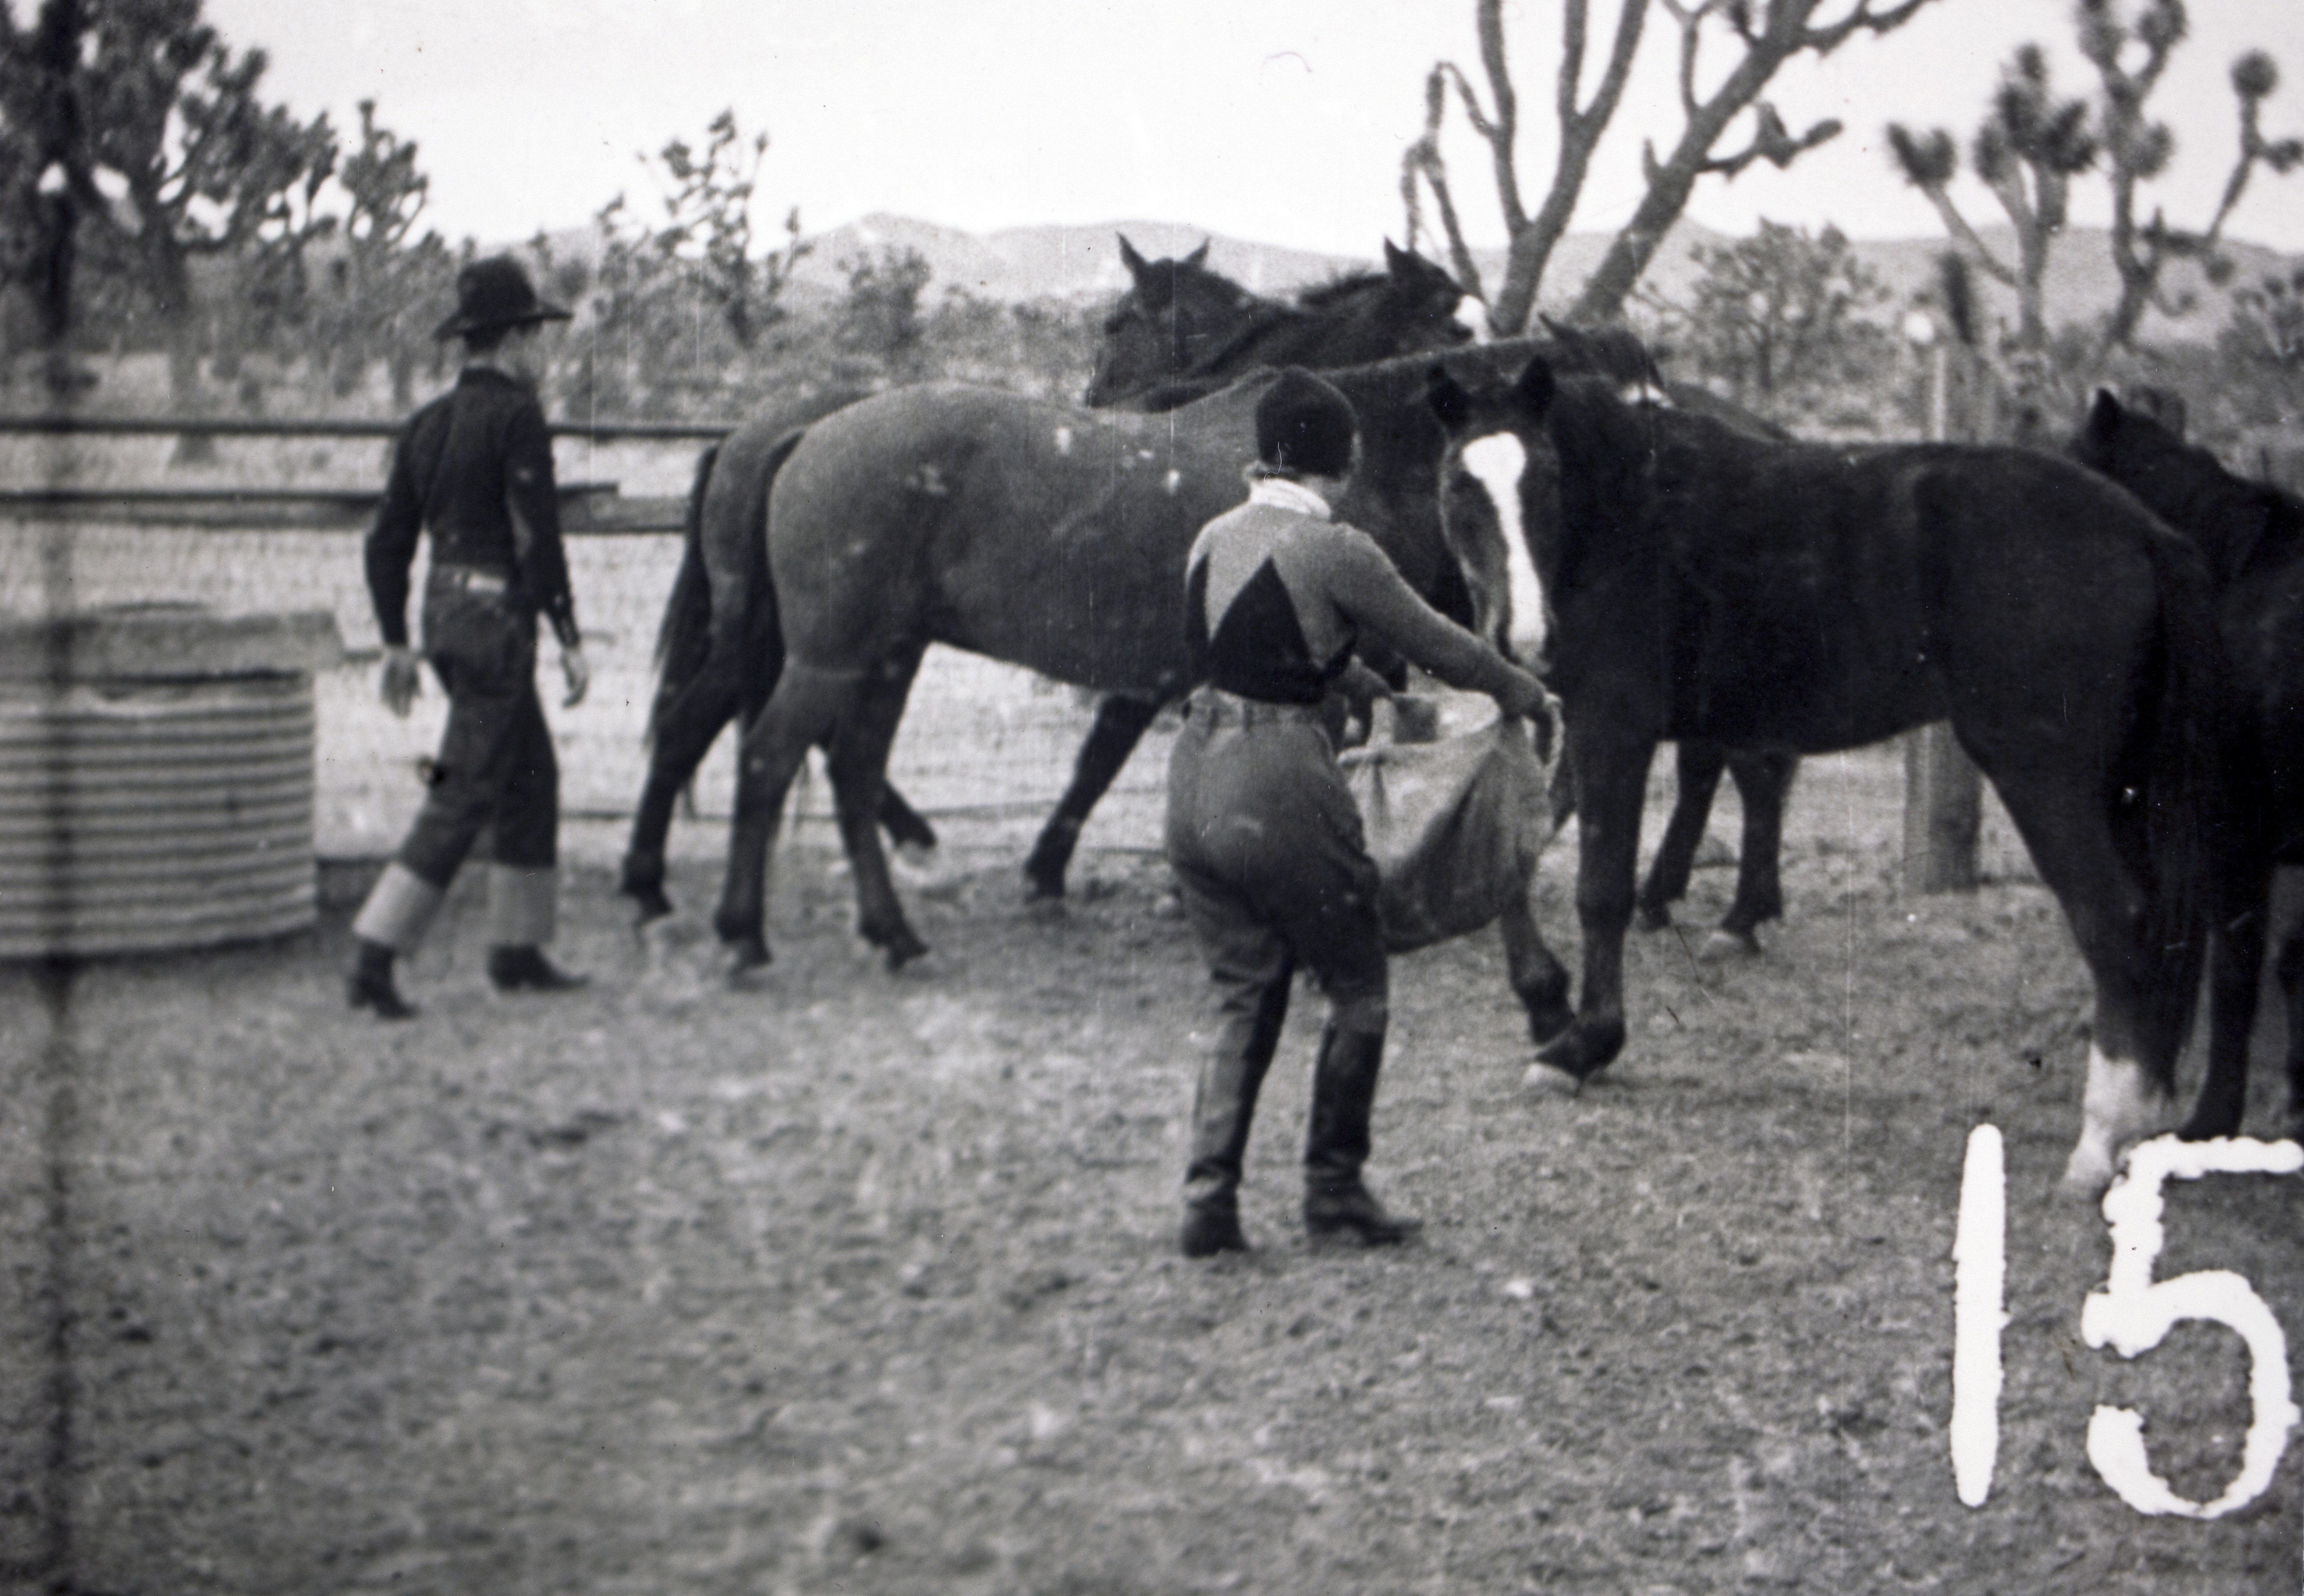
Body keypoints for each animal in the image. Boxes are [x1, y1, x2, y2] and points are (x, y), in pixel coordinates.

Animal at [1428, 357, 2239, 1179]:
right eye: (1459, 486)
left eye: (1548, 479)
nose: (1523, 639)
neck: (1626, 513)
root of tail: (2142, 531)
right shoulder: (1572, 729)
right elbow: (1515, 857)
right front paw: (1547, 1006)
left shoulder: (1612, 730)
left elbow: (1601, 893)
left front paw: (1583, 1046)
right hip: (2123, 793)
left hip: (2047, 783)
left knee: (2114, 919)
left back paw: (2102, 1138)